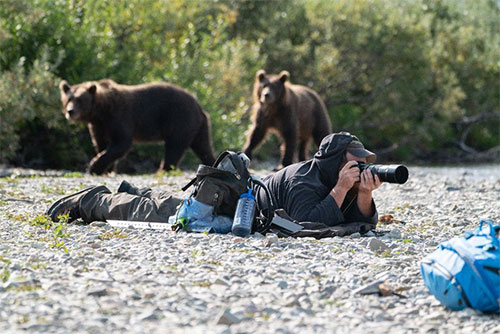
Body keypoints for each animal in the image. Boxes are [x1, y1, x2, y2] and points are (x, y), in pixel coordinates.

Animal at [58, 79, 215, 175]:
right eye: (68, 98)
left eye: (80, 99)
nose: (70, 111)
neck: (101, 111)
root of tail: (198, 106)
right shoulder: (99, 125)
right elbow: (101, 143)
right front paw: (106, 168)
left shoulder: (119, 117)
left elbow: (122, 142)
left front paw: (94, 166)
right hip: (199, 126)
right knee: (203, 146)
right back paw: (211, 163)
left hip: (179, 118)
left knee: (174, 146)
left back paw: (162, 169)